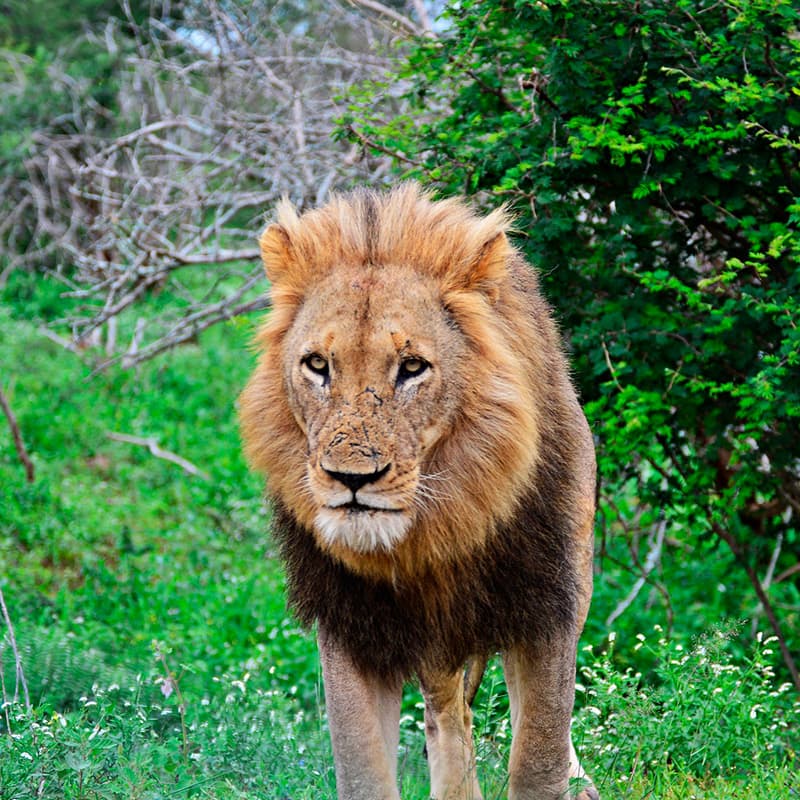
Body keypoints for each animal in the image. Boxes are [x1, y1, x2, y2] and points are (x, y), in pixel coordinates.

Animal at [239, 184, 600, 796]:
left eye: (412, 367)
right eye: (317, 365)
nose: (351, 479)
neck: (431, 536)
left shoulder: (547, 606)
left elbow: (540, 755)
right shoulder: (349, 627)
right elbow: (364, 771)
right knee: (447, 715)